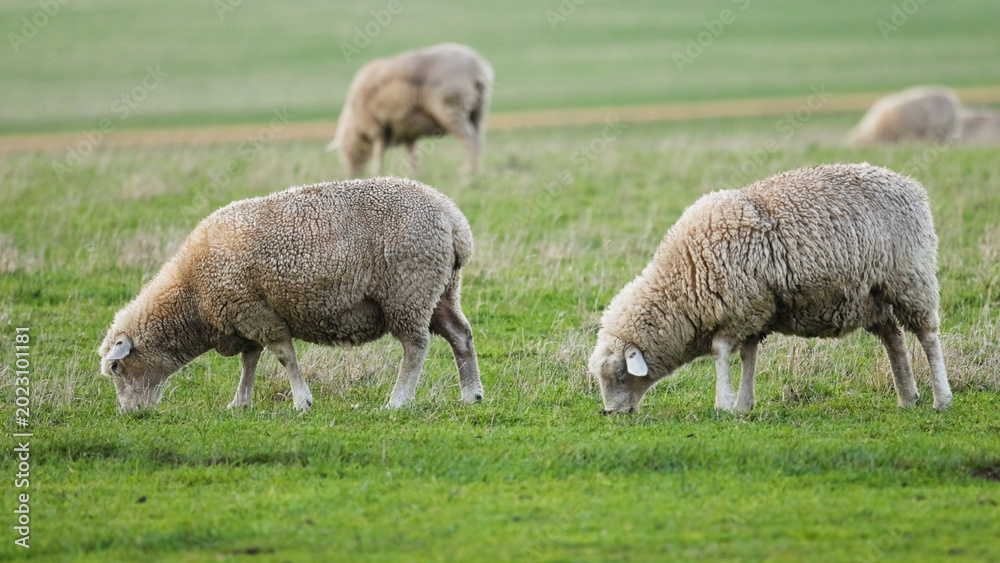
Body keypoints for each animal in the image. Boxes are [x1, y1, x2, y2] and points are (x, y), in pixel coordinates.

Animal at [98, 177, 484, 413]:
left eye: (116, 367)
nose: (130, 413)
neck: (192, 294)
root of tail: (455, 222)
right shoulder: (244, 316)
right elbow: (249, 361)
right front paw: (240, 402)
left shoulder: (256, 312)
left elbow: (284, 356)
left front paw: (302, 401)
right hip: (441, 291)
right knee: (460, 336)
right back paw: (471, 394)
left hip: (408, 289)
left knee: (415, 346)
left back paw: (398, 400)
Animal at [326, 43, 494, 178]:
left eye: (344, 155)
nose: (351, 176)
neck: (355, 124)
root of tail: (477, 67)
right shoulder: (408, 131)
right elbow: (412, 153)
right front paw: (415, 173)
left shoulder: (377, 127)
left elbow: (379, 152)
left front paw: (376, 172)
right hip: (478, 109)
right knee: (479, 137)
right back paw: (476, 169)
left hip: (452, 107)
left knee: (469, 138)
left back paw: (469, 170)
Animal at [589, 163, 952, 414]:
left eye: (619, 373)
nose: (611, 413)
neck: (686, 276)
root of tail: (910, 184)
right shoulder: (755, 311)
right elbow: (748, 354)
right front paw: (743, 405)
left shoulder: (742, 306)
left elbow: (721, 351)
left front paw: (724, 403)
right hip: (873, 295)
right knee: (894, 338)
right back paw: (907, 397)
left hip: (910, 278)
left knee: (927, 336)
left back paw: (941, 398)